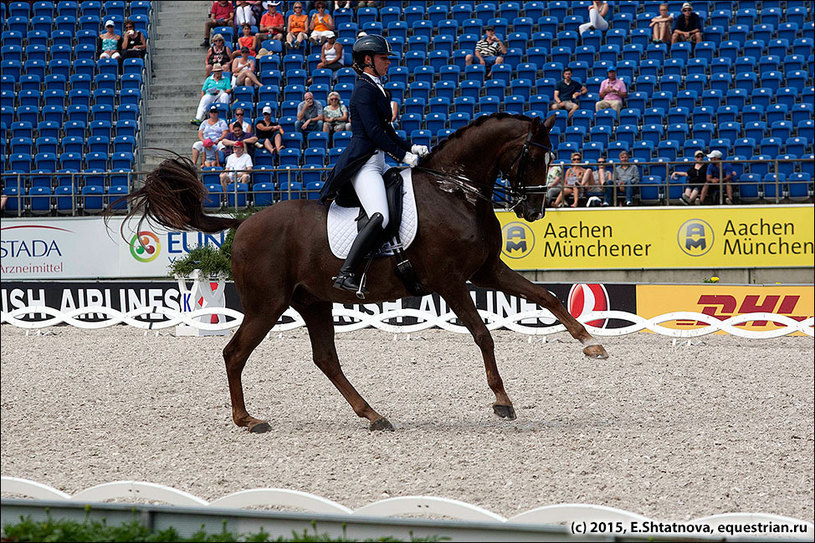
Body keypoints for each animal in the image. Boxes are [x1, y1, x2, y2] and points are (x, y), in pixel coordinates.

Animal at [119, 113, 604, 434]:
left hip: (312, 302)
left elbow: (547, 297)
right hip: (267, 305)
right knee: (235, 353)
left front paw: (591, 344)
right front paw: (502, 400)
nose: (534, 210)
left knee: (325, 359)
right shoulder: (449, 281)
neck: (454, 190)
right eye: (532, 157)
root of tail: (243, 222)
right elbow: (483, 334)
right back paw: (247, 420)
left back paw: (373, 414)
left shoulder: (486, 271)